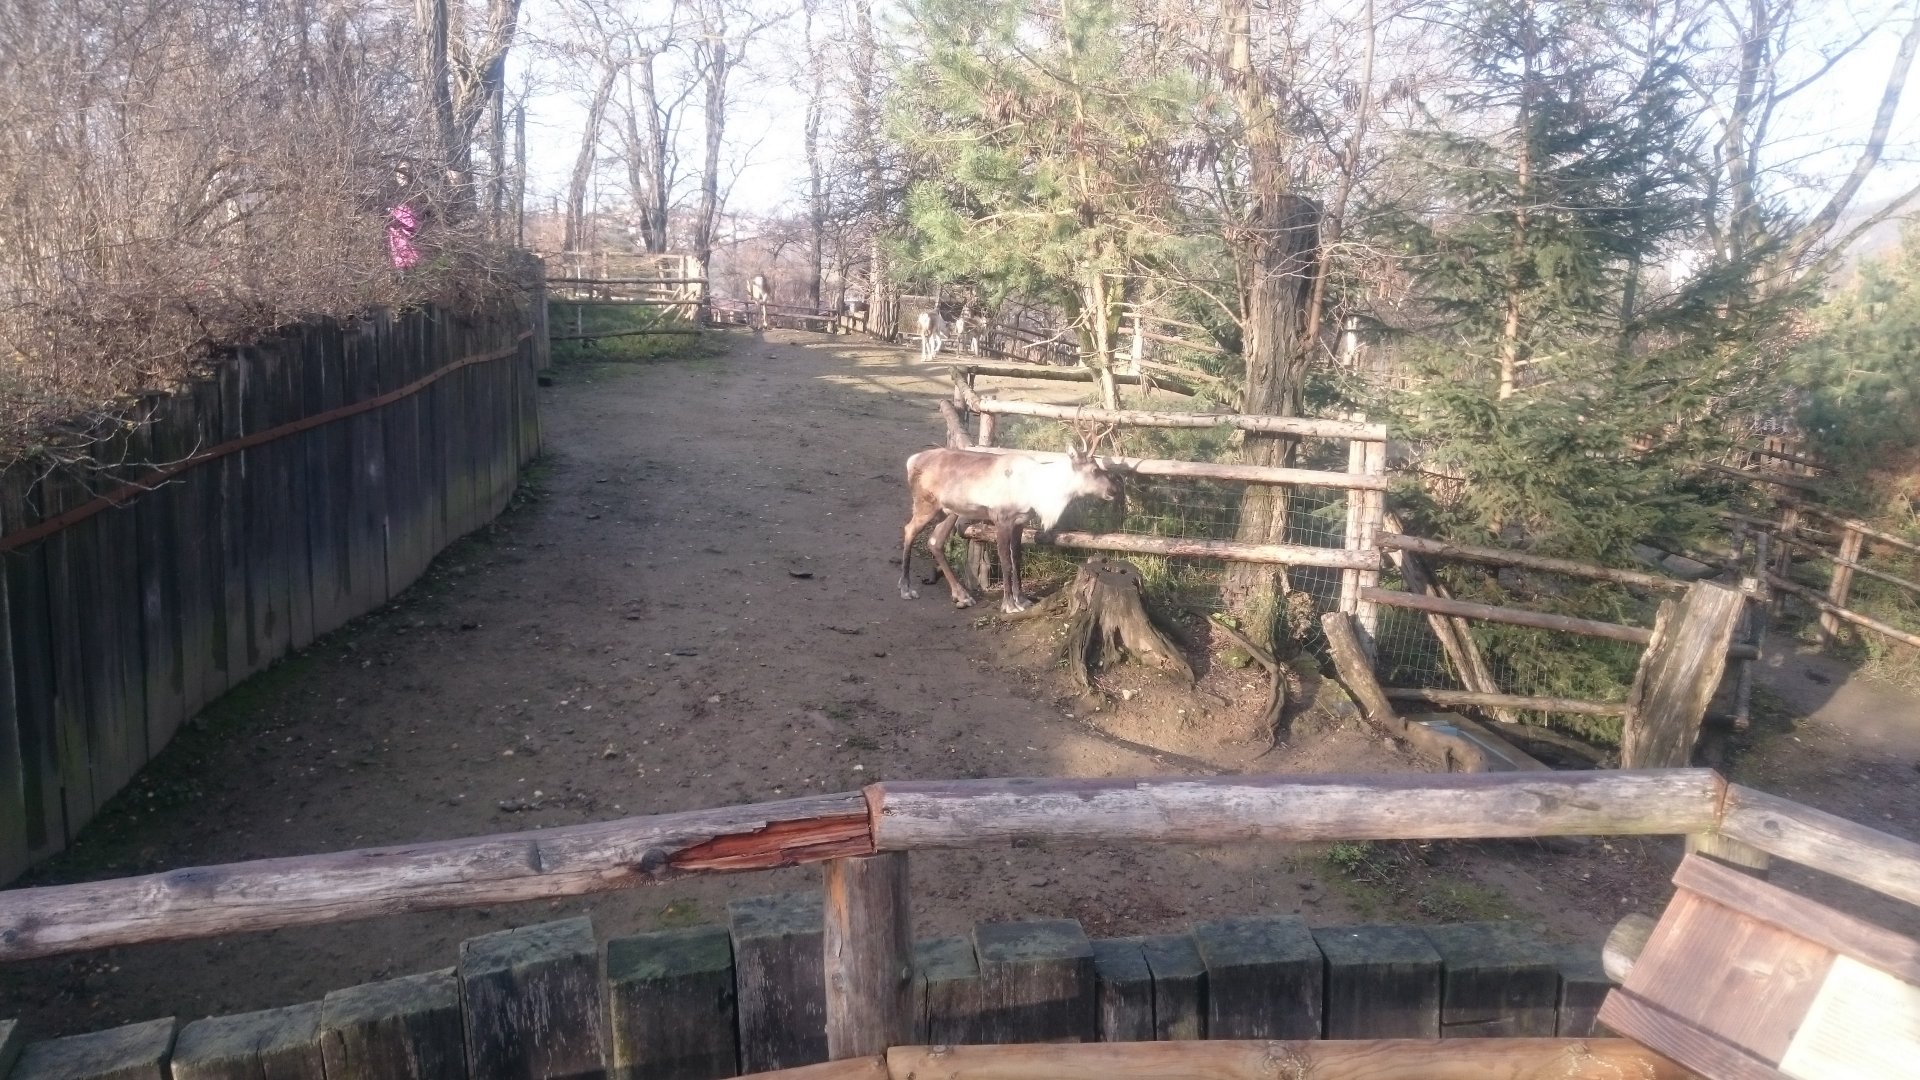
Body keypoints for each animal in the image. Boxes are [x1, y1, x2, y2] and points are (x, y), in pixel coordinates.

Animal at [897, 422, 1122, 613]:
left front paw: (1022, 599)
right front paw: (1009, 604)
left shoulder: (1019, 521)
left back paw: (962, 595)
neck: (1039, 489)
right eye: (1094, 470)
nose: (1114, 490)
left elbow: (1017, 559)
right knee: (909, 530)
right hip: (926, 505)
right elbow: (1005, 561)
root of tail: (911, 460)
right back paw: (906, 588)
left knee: (935, 541)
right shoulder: (1001, 518)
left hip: (949, 511)